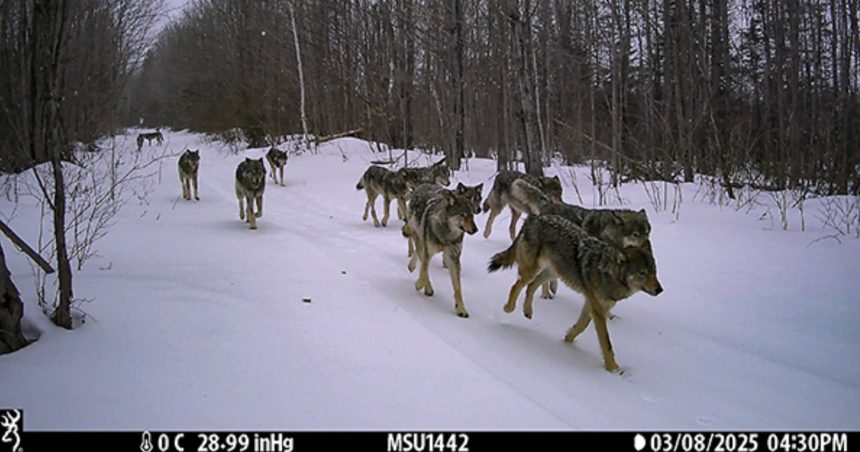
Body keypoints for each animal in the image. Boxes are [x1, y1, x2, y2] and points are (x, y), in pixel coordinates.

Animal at [405, 183, 478, 318]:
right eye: (463, 215)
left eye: (472, 216)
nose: (476, 230)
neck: (446, 237)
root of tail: (423, 185)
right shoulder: (428, 253)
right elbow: (423, 274)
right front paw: (419, 285)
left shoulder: (453, 259)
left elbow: (458, 288)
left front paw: (461, 309)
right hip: (420, 239)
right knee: (420, 256)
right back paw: (425, 285)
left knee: (418, 254)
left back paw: (411, 266)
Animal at [488, 214, 662, 372]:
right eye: (642, 273)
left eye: (654, 272)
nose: (660, 290)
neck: (608, 273)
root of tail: (535, 218)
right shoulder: (598, 309)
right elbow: (606, 343)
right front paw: (613, 368)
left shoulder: (592, 305)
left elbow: (581, 326)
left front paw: (568, 339)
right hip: (533, 271)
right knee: (517, 286)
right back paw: (508, 308)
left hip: (552, 273)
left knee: (531, 286)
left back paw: (528, 311)